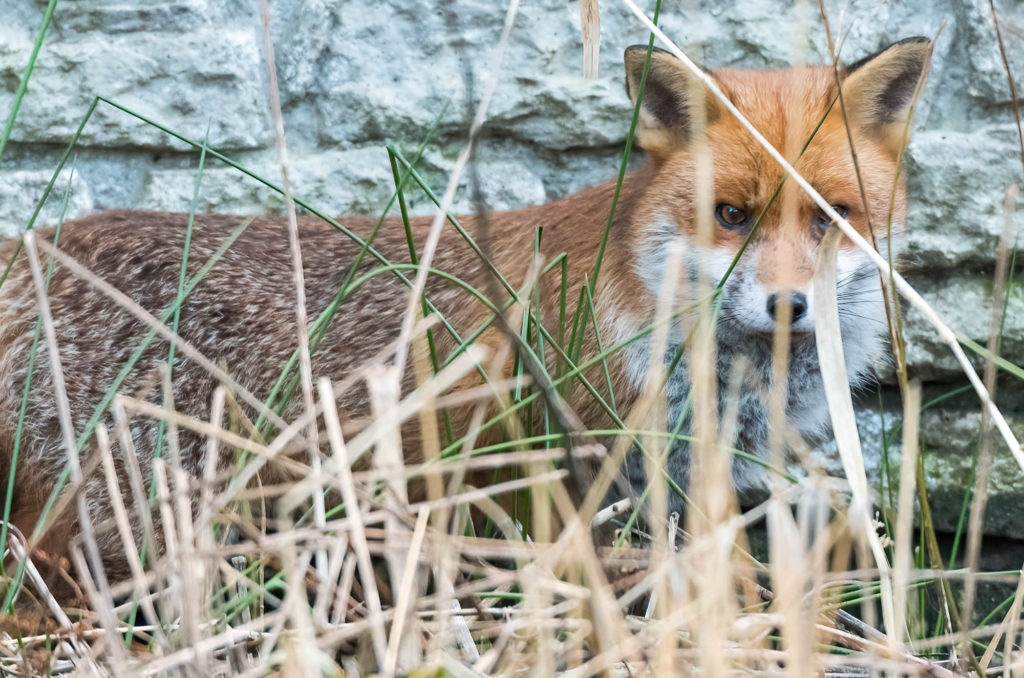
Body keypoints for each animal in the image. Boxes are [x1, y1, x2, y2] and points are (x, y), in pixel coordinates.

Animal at [0, 38, 929, 589]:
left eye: (832, 216)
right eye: (731, 215)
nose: (788, 306)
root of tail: (30, 247)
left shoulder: (695, 480)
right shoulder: (566, 474)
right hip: (126, 512)